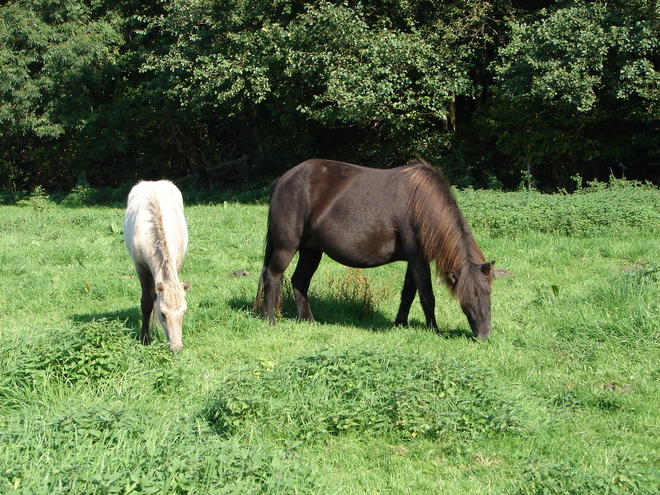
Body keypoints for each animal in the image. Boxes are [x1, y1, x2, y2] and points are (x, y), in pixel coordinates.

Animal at [124, 181, 191, 352]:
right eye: (163, 314)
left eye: (184, 312)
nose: (176, 347)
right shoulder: (140, 266)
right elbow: (146, 302)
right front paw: (144, 338)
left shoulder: (177, 262)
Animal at [254, 161, 496, 340]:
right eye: (467, 297)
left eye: (487, 293)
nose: (486, 335)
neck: (421, 204)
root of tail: (284, 179)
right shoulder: (418, 258)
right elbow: (427, 295)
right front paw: (433, 330)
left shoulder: (413, 260)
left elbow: (408, 294)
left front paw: (400, 324)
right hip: (287, 247)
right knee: (272, 276)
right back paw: (269, 319)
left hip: (311, 250)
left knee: (299, 281)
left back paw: (307, 320)